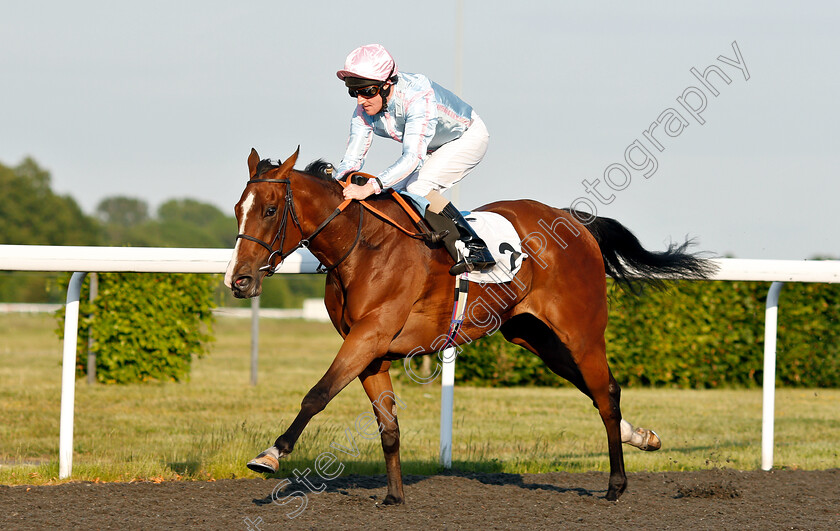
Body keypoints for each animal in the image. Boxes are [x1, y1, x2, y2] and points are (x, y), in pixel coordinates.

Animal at [223, 148, 716, 504]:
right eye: (237, 209)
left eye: (270, 210)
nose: (238, 280)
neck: (362, 246)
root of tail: (573, 220)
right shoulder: (371, 350)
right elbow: (388, 426)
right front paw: (394, 496)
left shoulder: (370, 334)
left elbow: (318, 393)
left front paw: (271, 454)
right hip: (533, 335)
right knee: (598, 389)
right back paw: (643, 438)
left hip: (581, 332)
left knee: (604, 393)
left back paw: (616, 485)